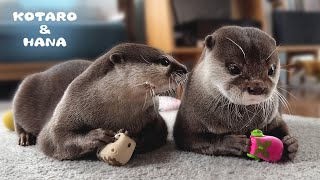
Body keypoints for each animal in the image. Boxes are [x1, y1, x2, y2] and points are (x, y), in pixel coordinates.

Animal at [13, 43, 188, 160]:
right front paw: (96, 136)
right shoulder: (67, 107)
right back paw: (25, 137)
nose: (185, 68)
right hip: (26, 86)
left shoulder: (153, 115)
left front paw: (136, 138)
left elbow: (158, 131)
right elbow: (53, 138)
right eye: (165, 61)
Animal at [174, 26, 298, 161]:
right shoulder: (186, 127)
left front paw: (289, 144)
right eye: (234, 68)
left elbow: (281, 126)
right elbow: (200, 139)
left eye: (271, 69)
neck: (240, 123)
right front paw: (232, 143)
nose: (257, 87)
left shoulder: (273, 116)